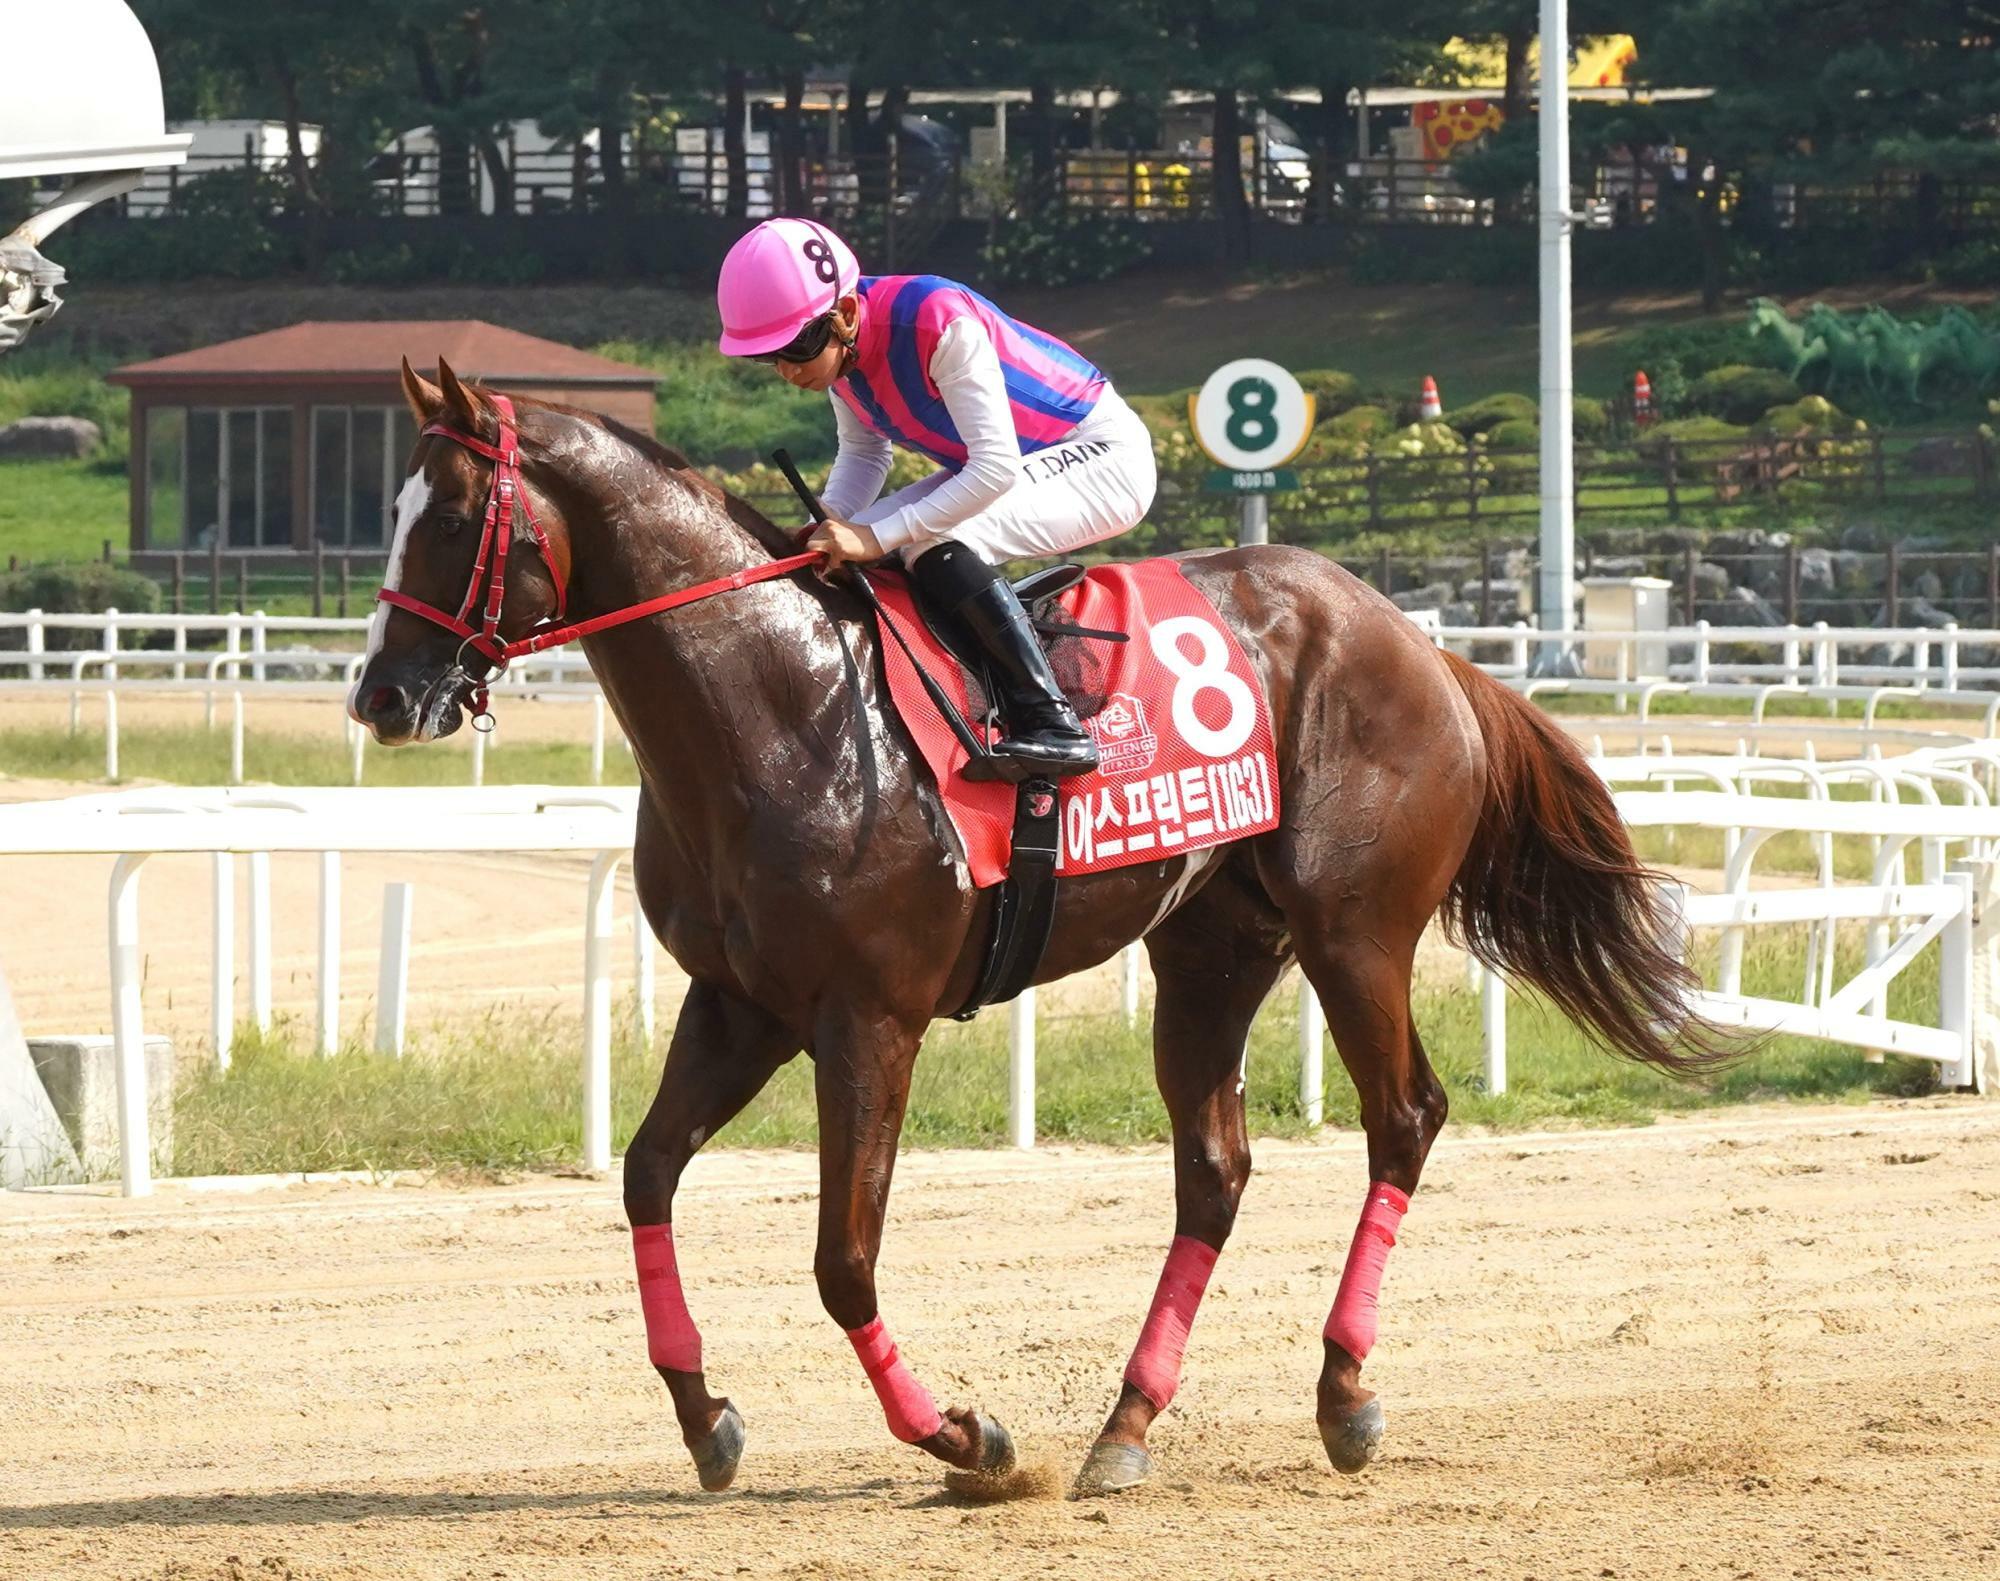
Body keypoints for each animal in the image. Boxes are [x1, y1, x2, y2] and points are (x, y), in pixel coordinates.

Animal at [348, 366, 1720, 1504]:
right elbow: (643, 1173)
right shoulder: (737, 1004)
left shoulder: (869, 1020)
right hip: (1212, 948)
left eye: (451, 516)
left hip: (1355, 931)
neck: (778, 710)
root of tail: (1425, 645)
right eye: (391, 505)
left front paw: (964, 1439)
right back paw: (1127, 1426)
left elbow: (843, 1259)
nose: (380, 696)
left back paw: (1342, 1394)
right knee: (1212, 1170)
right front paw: (705, 1416)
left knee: (1403, 1119)